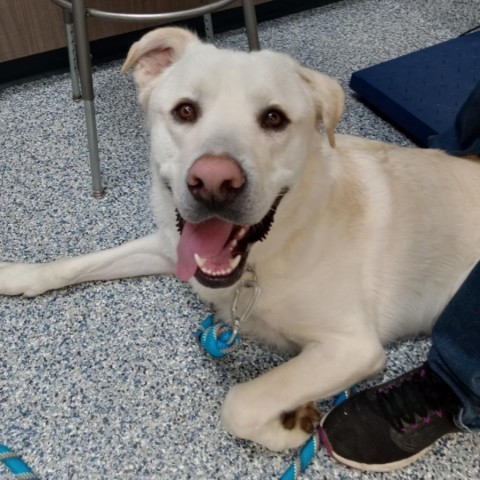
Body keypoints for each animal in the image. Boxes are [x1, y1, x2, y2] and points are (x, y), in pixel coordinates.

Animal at [0, 28, 480, 452]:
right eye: (185, 111)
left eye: (274, 118)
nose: (214, 183)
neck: (259, 262)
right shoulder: (171, 246)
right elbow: (80, 262)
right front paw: (20, 275)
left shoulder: (352, 347)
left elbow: (242, 402)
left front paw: (288, 426)